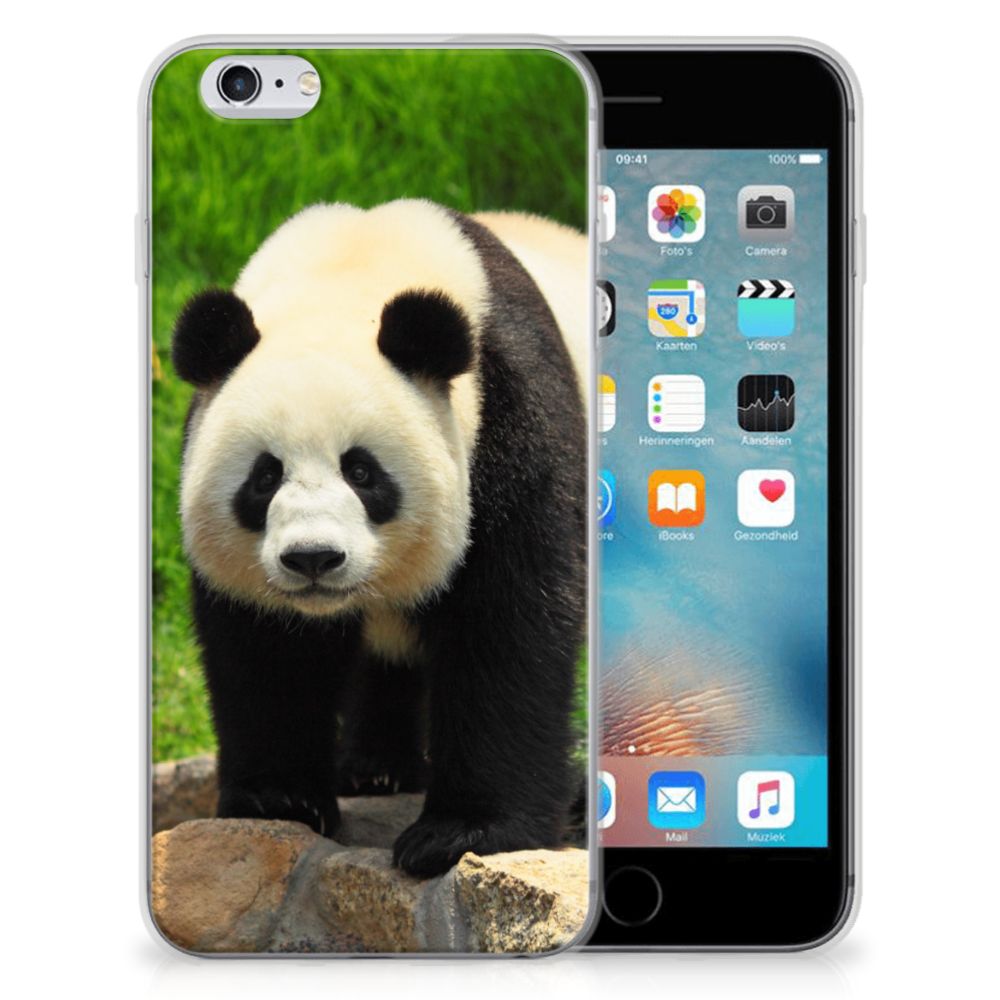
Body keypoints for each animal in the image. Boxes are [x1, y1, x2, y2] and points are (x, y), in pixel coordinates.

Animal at [172, 199, 588, 877]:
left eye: (362, 472)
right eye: (265, 476)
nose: (313, 558)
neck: (351, 270)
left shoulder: (512, 421)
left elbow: (509, 623)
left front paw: (462, 832)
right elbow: (267, 648)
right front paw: (279, 798)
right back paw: (375, 769)